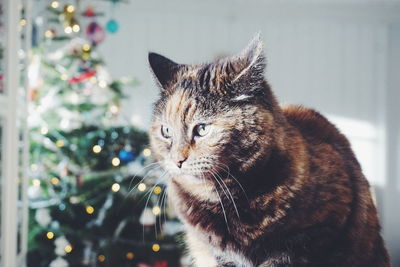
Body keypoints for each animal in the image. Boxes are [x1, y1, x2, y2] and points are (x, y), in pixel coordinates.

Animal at [148, 34, 390, 266]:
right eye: (166, 130)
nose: (177, 160)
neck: (231, 201)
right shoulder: (221, 254)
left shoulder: (310, 239)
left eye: (202, 129)